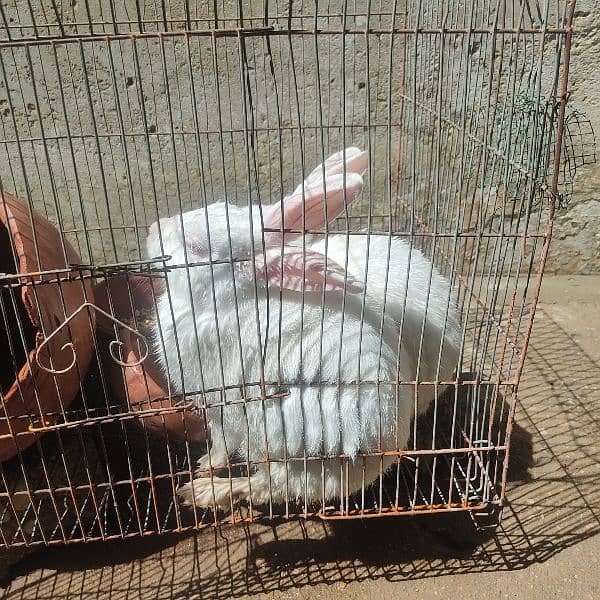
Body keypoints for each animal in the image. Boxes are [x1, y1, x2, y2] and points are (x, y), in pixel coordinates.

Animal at [147, 169, 410, 510]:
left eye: (196, 247)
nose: (153, 228)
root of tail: (385, 448)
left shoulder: (222, 404)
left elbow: (222, 442)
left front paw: (206, 467)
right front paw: (205, 462)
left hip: (283, 447)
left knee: (265, 487)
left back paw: (200, 492)